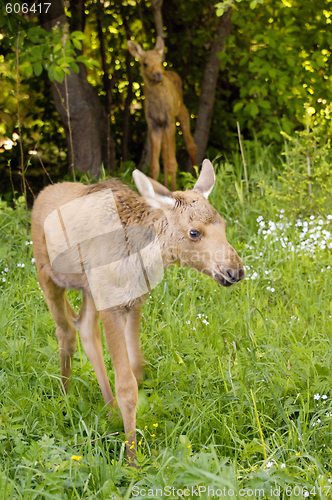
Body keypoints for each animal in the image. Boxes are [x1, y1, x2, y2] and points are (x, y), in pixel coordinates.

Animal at [31, 159, 244, 464]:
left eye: (224, 225)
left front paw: (126, 431)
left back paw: (108, 410)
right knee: (66, 331)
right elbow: (127, 387)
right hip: (47, 276)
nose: (235, 270)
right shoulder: (111, 304)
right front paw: (132, 461)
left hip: (89, 289)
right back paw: (64, 394)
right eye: (194, 232)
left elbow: (137, 370)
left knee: (86, 330)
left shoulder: (134, 302)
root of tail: (40, 195)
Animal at [127, 35, 197, 191]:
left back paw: (195, 177)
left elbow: (172, 162)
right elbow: (154, 165)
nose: (158, 75)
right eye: (145, 63)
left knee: (190, 144)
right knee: (164, 154)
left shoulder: (169, 121)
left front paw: (175, 190)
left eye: (160, 61)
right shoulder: (153, 124)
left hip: (181, 111)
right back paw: (166, 185)